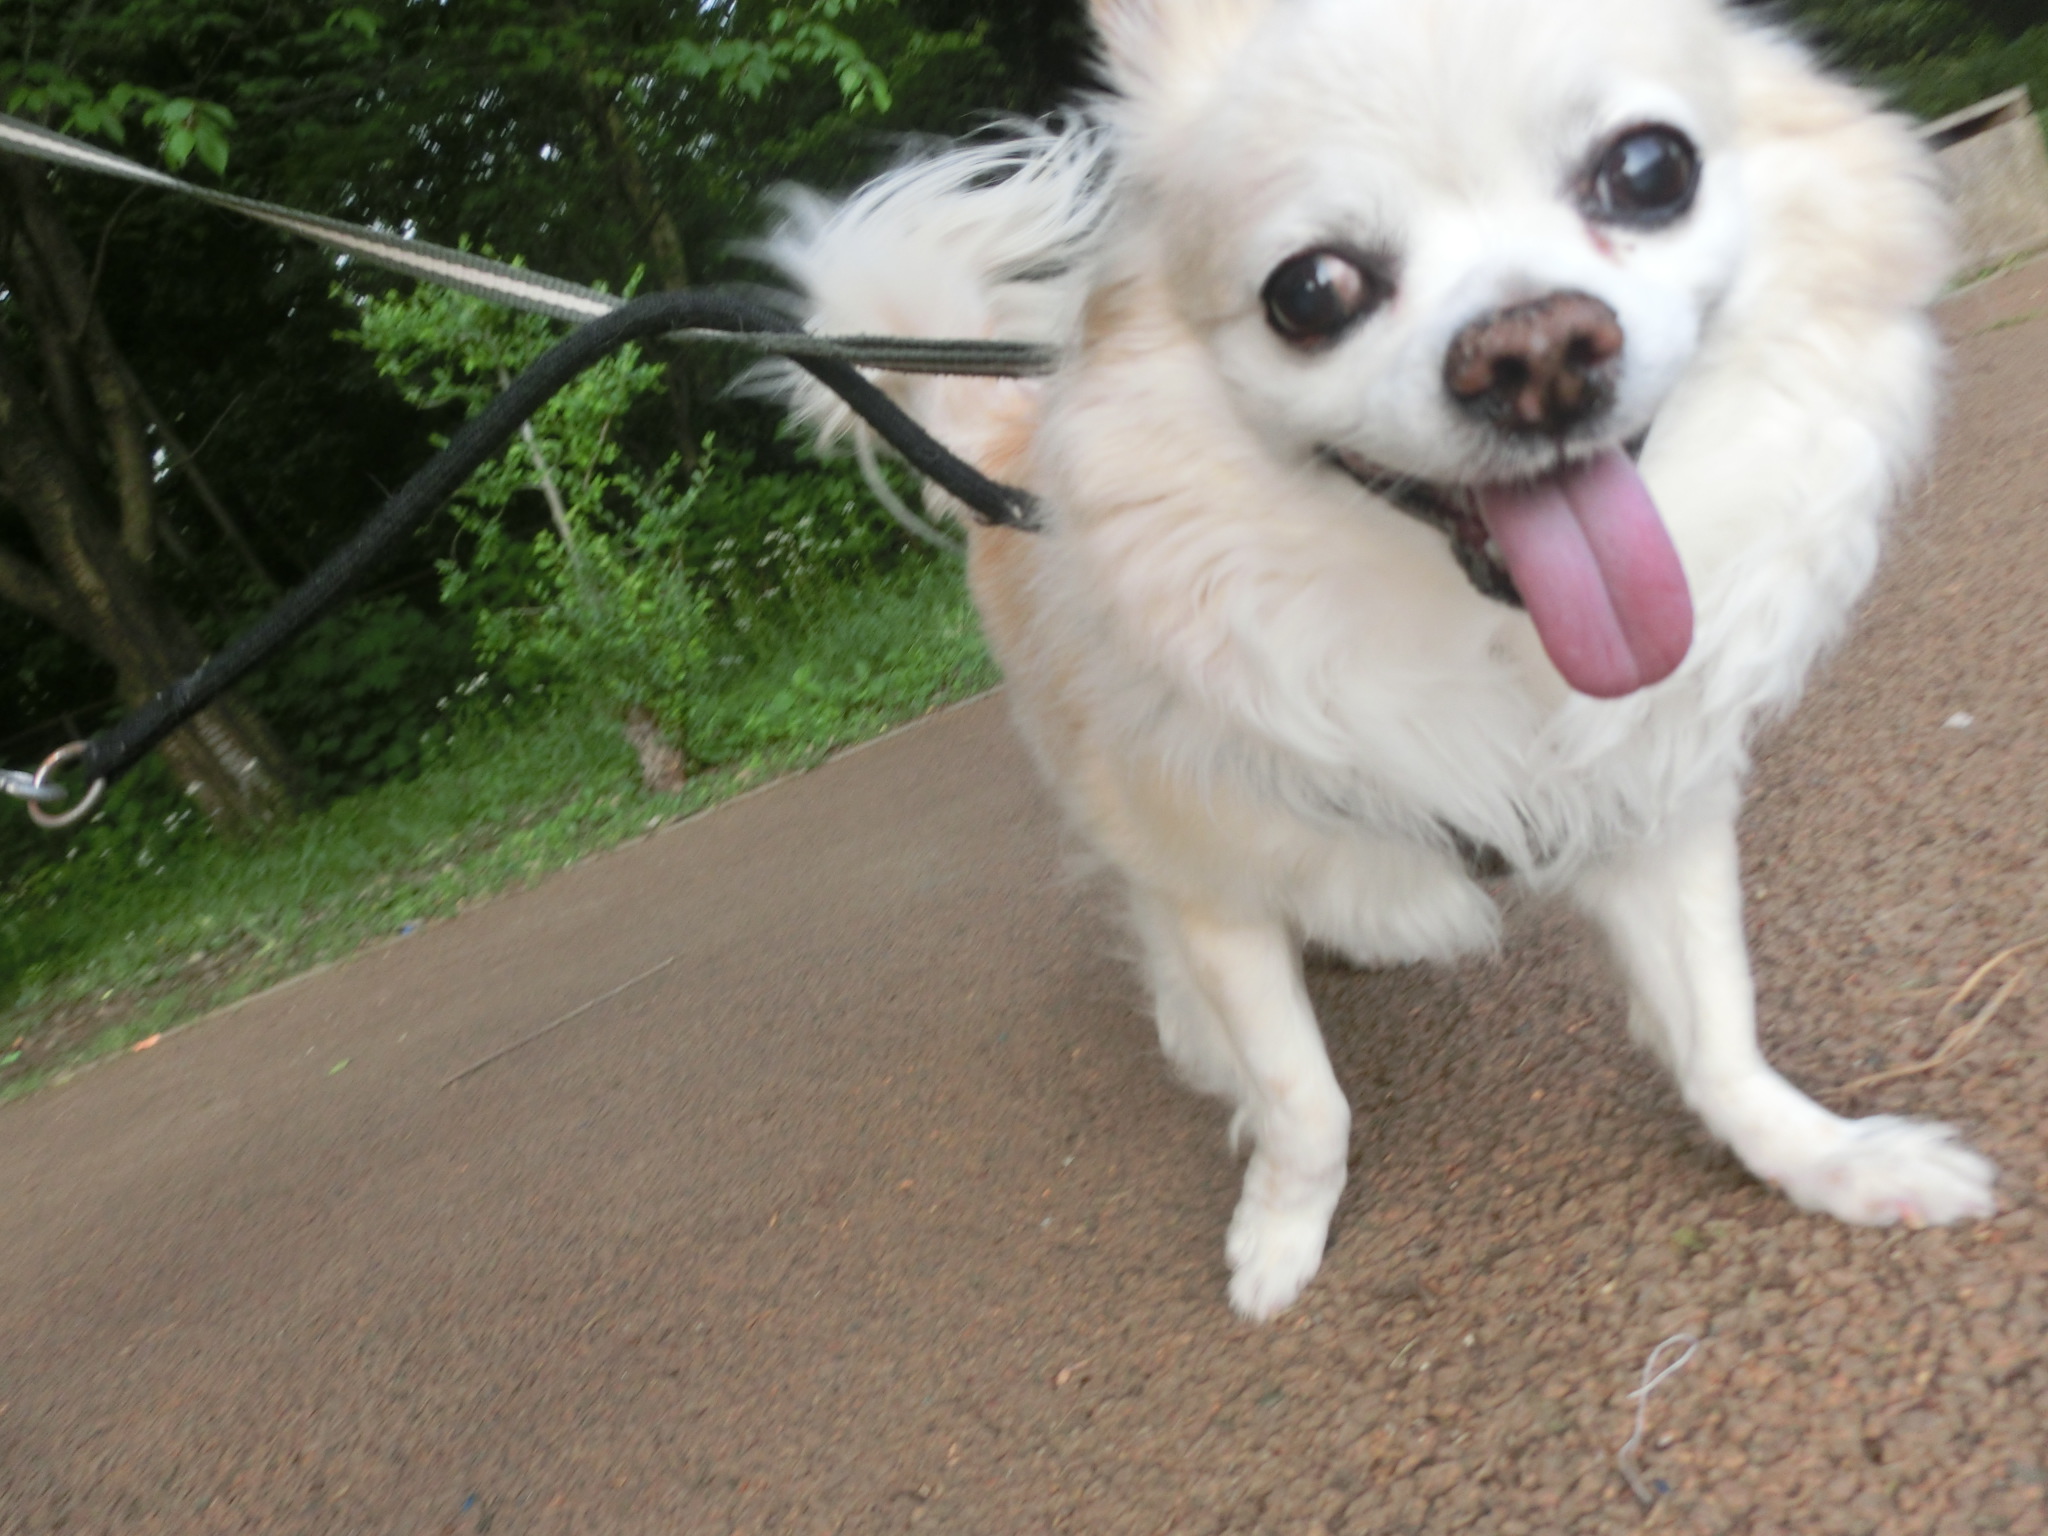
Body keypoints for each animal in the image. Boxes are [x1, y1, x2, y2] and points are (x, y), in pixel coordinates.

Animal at [768, 0, 1997, 1319]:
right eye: (1310, 291)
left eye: (1647, 169)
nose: (1534, 350)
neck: (1482, 641)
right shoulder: (1212, 866)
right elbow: (1301, 1096)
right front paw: (1278, 1233)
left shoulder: (1650, 807)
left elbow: (1718, 1029)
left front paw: (1830, 1161)